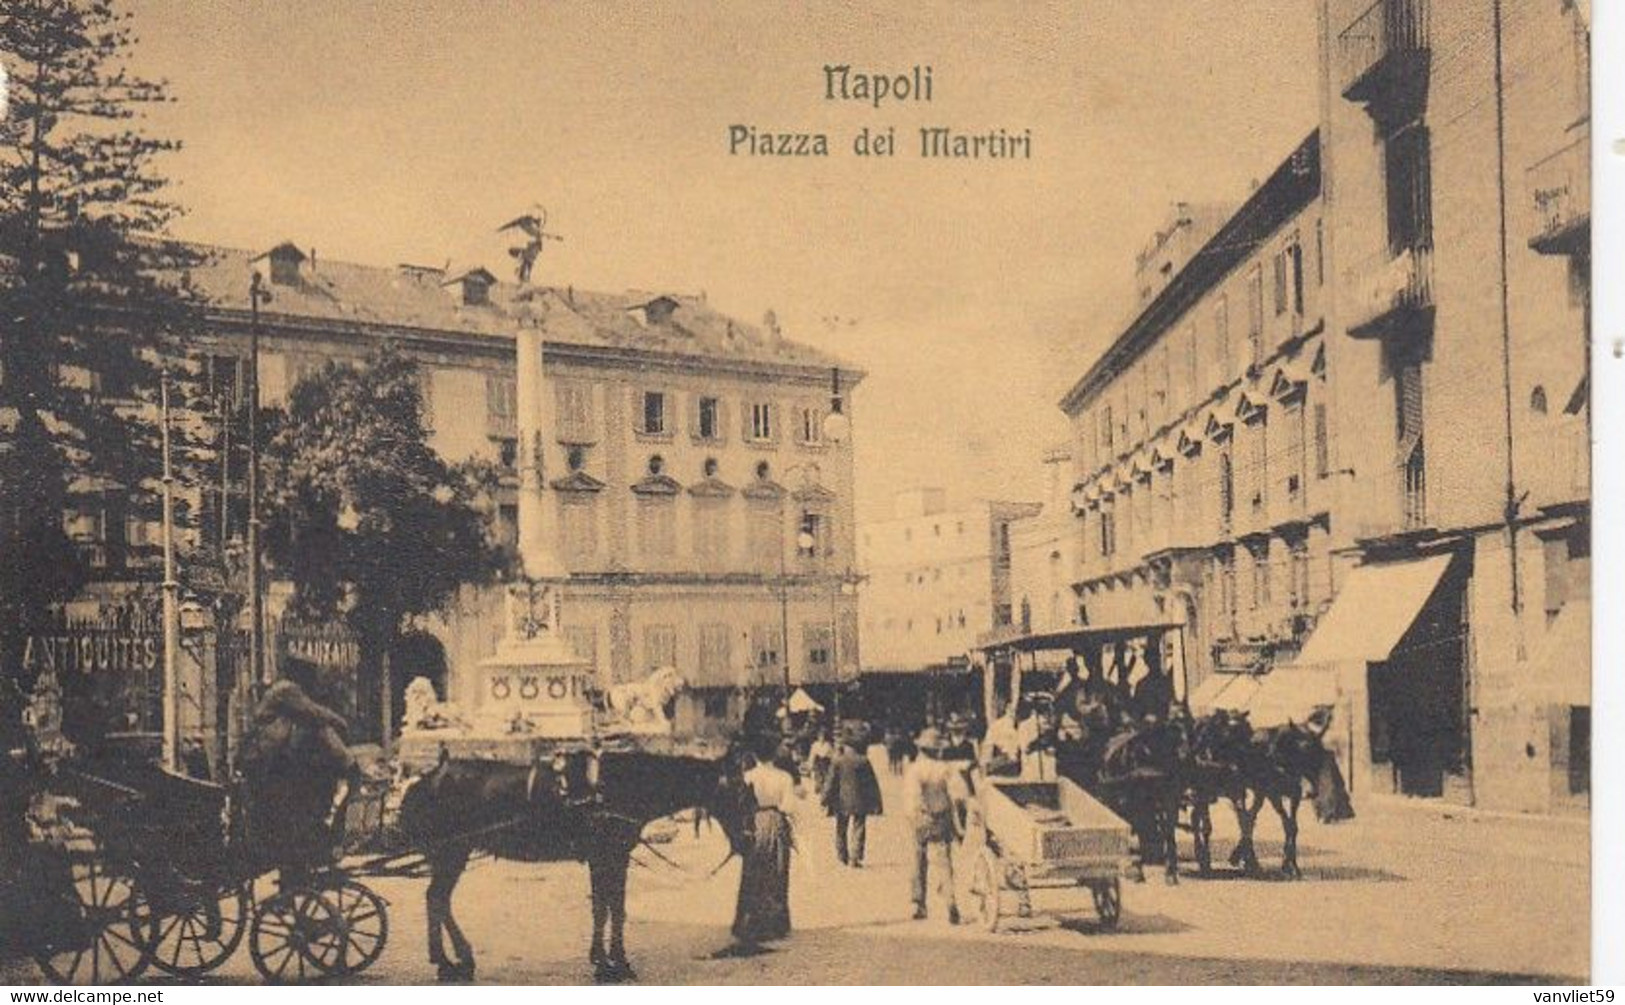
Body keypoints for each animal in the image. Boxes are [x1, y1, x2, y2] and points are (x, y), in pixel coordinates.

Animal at [396, 744, 750, 975]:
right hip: (450, 853)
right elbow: (610, 908)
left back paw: (449, 958)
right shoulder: (608, 855)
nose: (748, 838)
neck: (619, 786)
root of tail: (427, 778)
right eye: (738, 792)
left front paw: (604, 957)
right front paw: (614, 962)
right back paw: (450, 958)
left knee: (437, 899)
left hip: (453, 853)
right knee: (437, 898)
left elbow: (608, 907)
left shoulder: (610, 857)